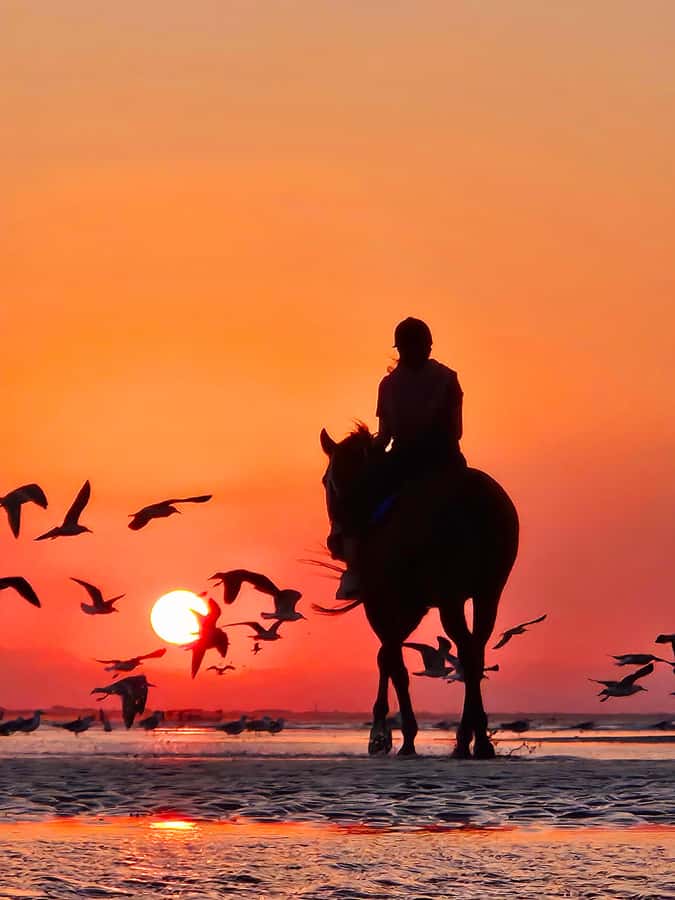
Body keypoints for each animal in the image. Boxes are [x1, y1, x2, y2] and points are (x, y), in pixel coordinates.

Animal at [317, 425, 519, 759]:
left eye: (326, 480)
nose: (335, 541)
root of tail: (479, 502)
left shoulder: (381, 602)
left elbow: (392, 661)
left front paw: (392, 736)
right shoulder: (414, 606)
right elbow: (388, 657)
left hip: (450, 598)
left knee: (466, 651)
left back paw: (468, 740)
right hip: (489, 593)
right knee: (475, 651)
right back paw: (476, 739)